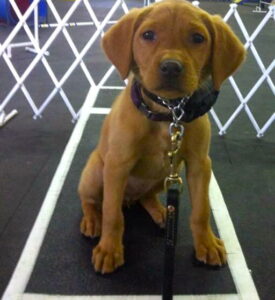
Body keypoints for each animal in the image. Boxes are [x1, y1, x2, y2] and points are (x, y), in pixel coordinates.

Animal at [78, 0, 246, 274]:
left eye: (198, 38)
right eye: (148, 35)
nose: (171, 67)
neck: (167, 113)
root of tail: (129, 198)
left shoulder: (200, 164)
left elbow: (201, 211)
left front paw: (207, 244)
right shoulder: (117, 165)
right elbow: (112, 214)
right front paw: (109, 249)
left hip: (165, 177)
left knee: (146, 196)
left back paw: (160, 212)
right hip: (96, 172)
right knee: (92, 200)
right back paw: (93, 220)